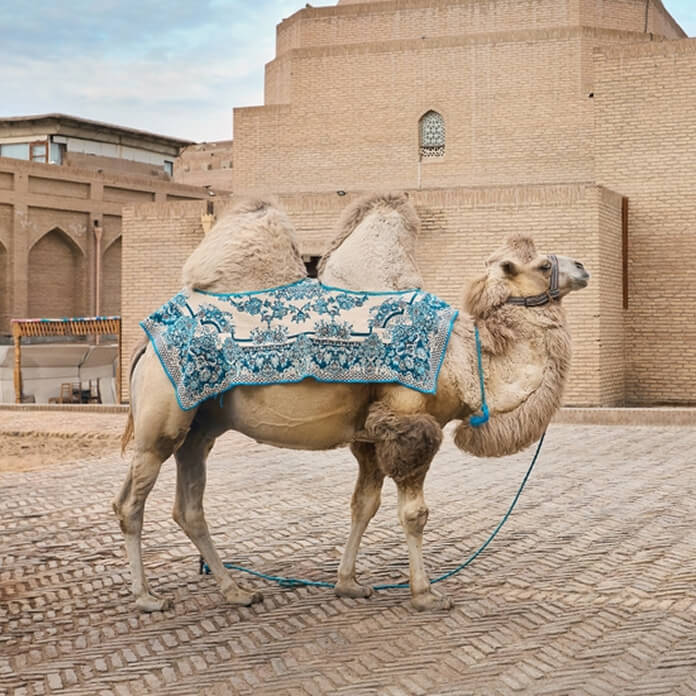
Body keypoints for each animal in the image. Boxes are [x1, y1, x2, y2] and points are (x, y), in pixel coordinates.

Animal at [114, 196, 589, 612]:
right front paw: (426, 594)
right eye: (542, 264)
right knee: (131, 504)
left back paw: (237, 591)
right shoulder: (409, 420)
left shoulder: (371, 433)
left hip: (200, 428)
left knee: (189, 507)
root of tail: (147, 340)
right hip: (162, 424)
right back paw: (147, 598)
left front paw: (348, 584)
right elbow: (414, 513)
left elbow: (363, 506)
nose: (583, 267)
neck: (463, 358)